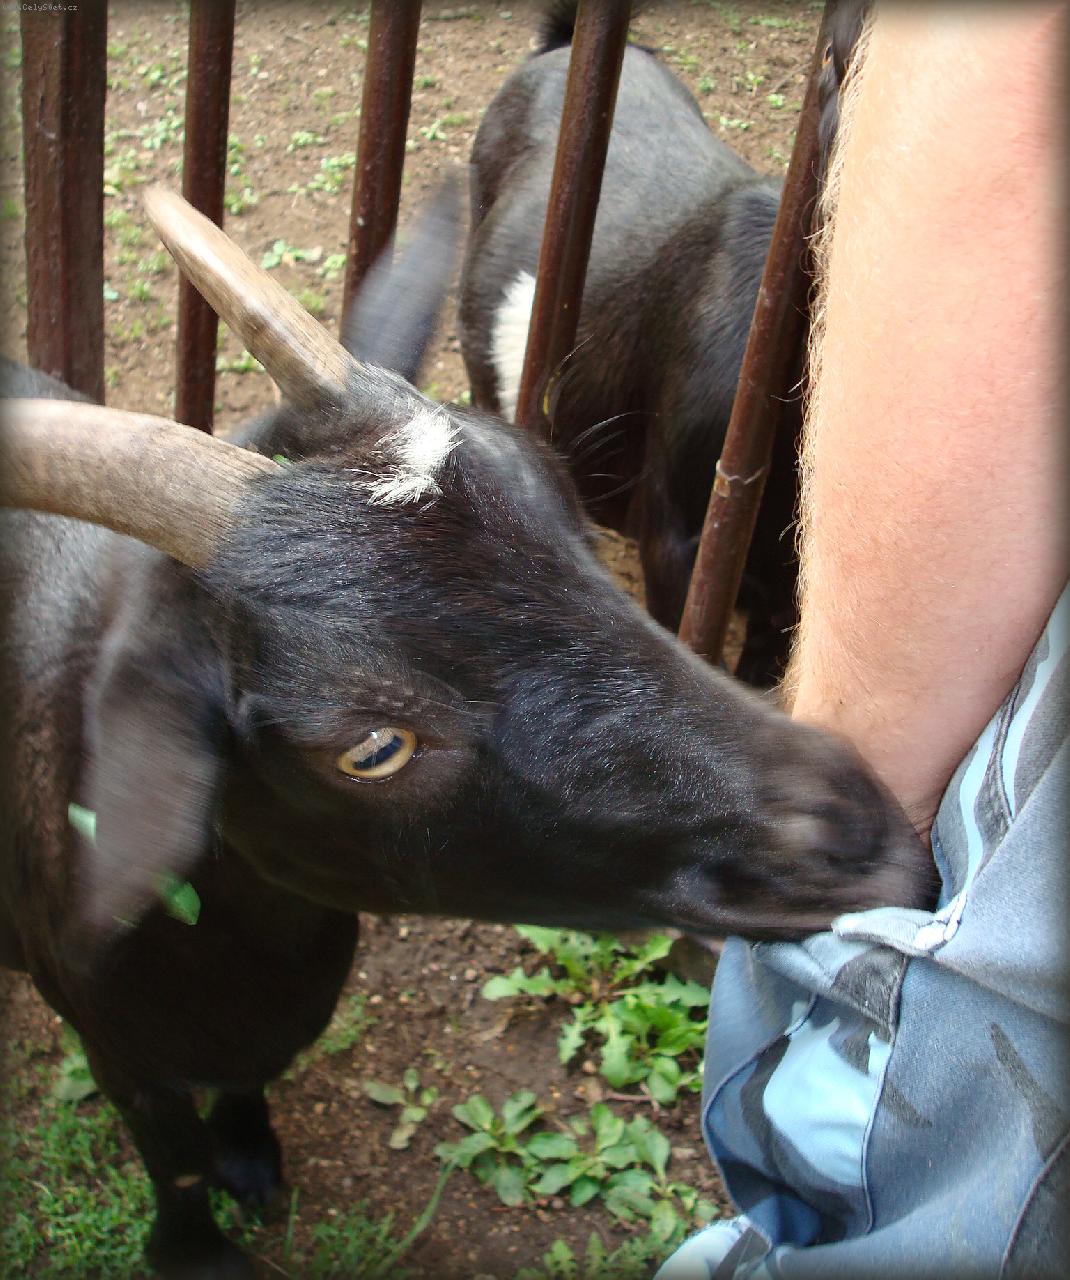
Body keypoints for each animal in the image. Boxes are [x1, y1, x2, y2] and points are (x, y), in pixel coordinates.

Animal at [0, 182, 931, 1278]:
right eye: (371, 745)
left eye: (558, 503)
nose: (858, 838)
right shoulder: (116, 1047)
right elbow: (173, 1156)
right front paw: (198, 1246)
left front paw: (253, 1155)